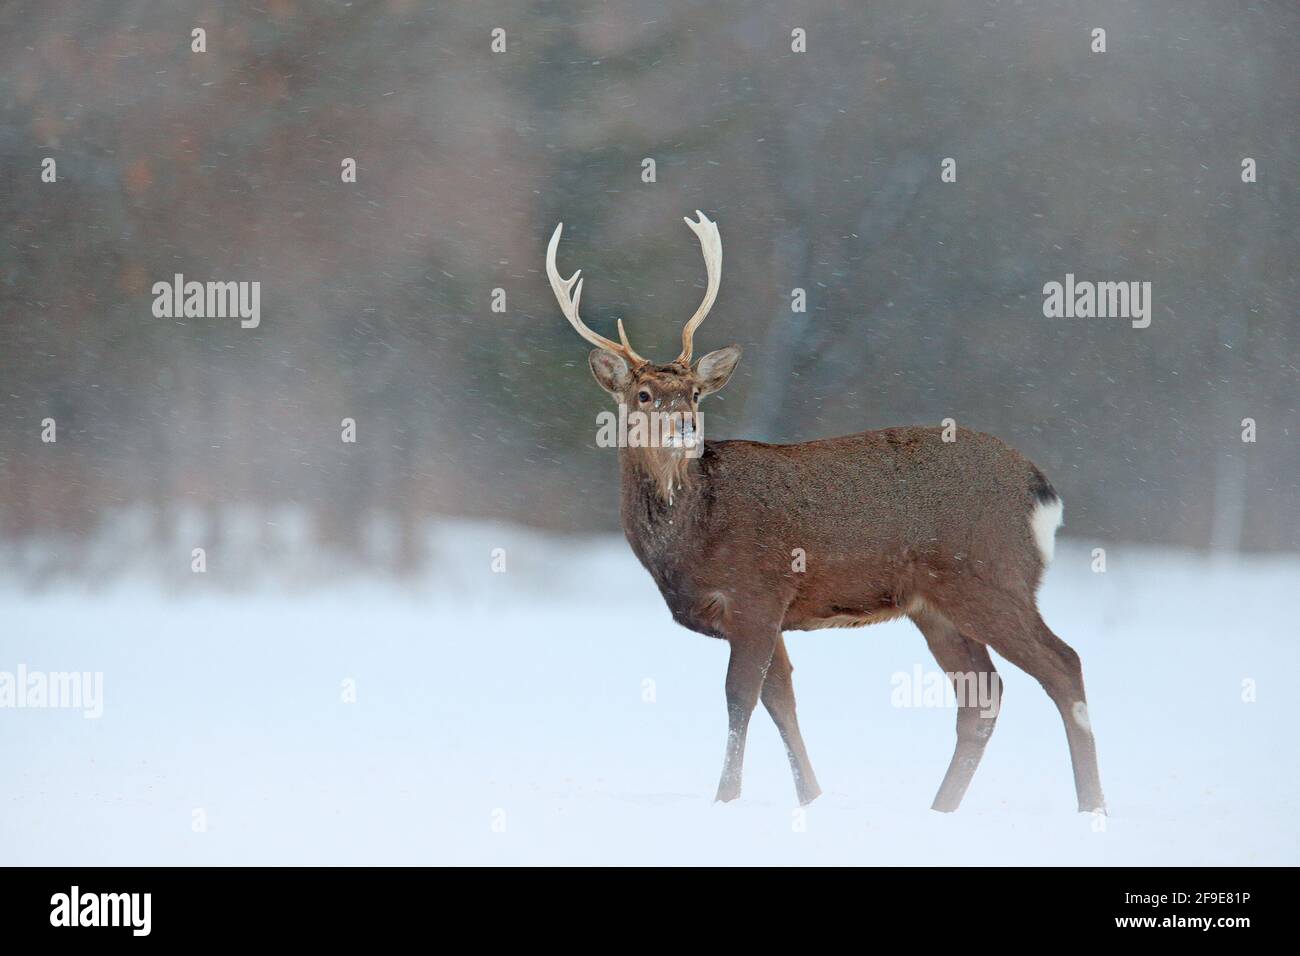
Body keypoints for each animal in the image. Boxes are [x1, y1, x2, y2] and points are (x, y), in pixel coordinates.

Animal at [545, 211, 1105, 813]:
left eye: (695, 393)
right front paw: (811, 797)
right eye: (644, 395)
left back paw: (1091, 806)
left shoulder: (757, 592)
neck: (692, 535)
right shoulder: (766, 612)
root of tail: (1040, 491)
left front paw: (726, 798)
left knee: (1063, 664)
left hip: (990, 576)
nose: (685, 428)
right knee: (983, 694)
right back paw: (941, 808)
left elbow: (740, 698)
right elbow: (781, 699)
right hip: (936, 605)